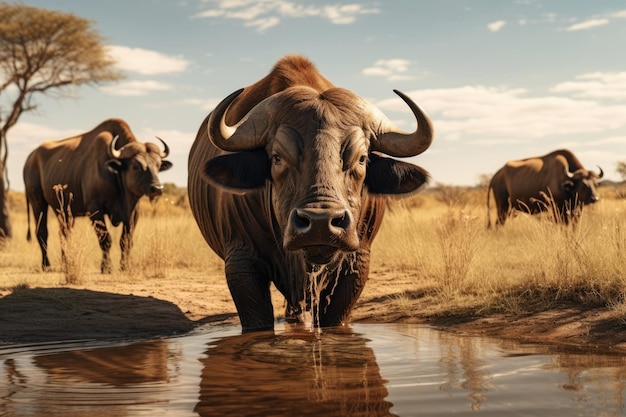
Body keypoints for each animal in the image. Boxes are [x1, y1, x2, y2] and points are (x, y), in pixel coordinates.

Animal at [23, 118, 172, 272]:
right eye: (135, 166)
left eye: (158, 165)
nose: (157, 188)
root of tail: (30, 159)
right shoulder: (95, 210)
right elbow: (105, 240)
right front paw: (106, 267)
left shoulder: (133, 213)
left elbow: (126, 241)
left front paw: (125, 266)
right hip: (37, 203)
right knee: (42, 232)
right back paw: (46, 265)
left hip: (64, 211)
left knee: (64, 234)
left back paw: (65, 263)